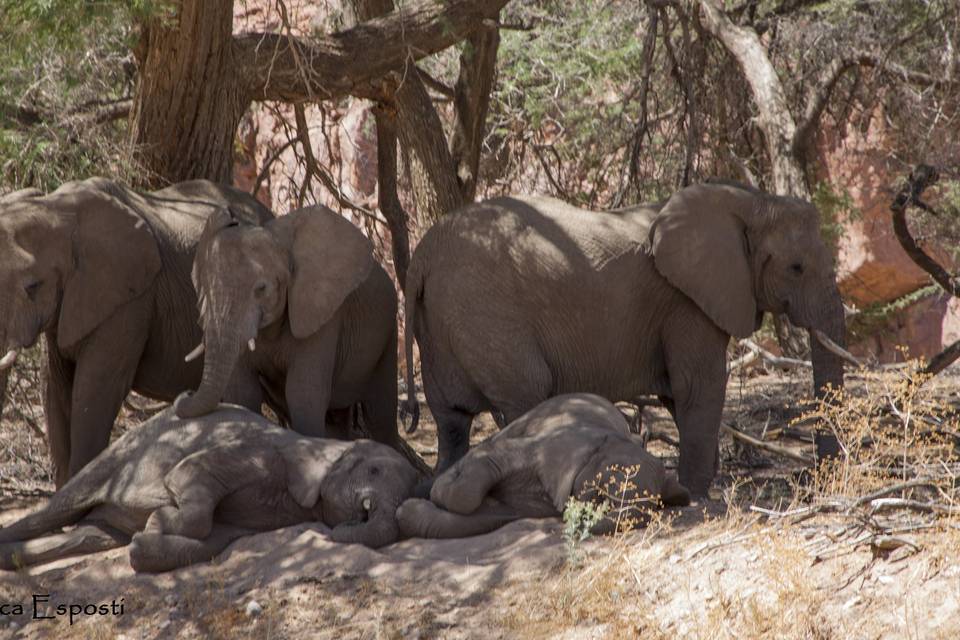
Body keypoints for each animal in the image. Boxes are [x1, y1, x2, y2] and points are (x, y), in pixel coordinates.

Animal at [0, 402, 420, 572]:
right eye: (374, 471)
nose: (358, 515)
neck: (319, 446)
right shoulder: (256, 453)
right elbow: (192, 477)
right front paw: (158, 519)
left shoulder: (263, 516)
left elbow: (213, 541)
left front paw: (142, 541)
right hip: (120, 454)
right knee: (57, 508)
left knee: (87, 537)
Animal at [173, 205, 402, 450]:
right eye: (204, 288)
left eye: (261, 289)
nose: (186, 393)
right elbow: (243, 391)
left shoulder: (321, 312)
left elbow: (303, 393)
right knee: (337, 420)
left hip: (388, 331)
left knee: (380, 415)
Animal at [398, 392, 688, 536]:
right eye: (612, 480)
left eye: (658, 503)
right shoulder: (548, 449)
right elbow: (473, 485)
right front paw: (430, 497)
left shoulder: (529, 506)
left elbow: (483, 517)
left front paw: (406, 511)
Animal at [402, 182, 844, 498]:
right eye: (796, 267)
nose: (817, 479)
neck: (750, 200)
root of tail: (420, 258)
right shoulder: (685, 302)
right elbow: (698, 387)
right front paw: (696, 494)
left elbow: (678, 394)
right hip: (485, 313)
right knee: (526, 396)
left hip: (441, 324)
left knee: (451, 421)